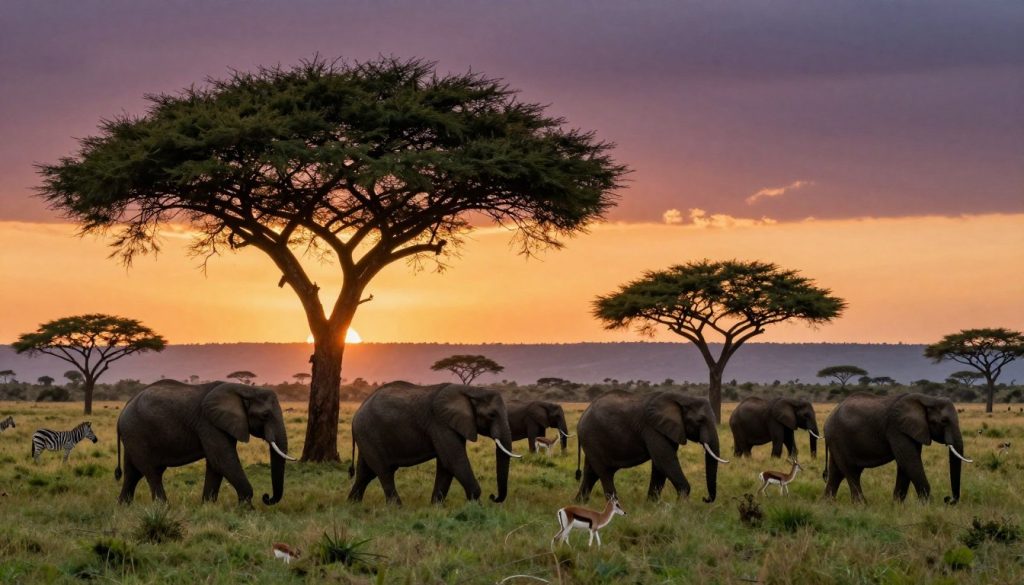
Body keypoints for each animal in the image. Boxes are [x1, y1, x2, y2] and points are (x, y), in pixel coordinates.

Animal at [115, 380, 294, 505]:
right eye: (265, 415)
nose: (267, 497)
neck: (245, 389)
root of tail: (124, 409)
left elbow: (216, 465)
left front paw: (207, 507)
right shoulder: (208, 423)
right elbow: (223, 461)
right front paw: (247, 509)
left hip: (132, 436)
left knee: (133, 472)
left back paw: (124, 507)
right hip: (136, 433)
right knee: (152, 471)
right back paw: (163, 507)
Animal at [347, 381, 521, 505]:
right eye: (492, 415)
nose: (494, 497)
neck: (470, 389)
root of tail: (357, 413)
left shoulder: (451, 424)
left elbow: (446, 465)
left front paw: (436, 507)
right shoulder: (440, 422)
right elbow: (454, 460)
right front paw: (476, 507)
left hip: (367, 436)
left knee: (366, 472)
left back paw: (353, 504)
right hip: (369, 432)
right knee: (384, 471)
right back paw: (397, 507)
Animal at [575, 390, 728, 503]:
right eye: (700, 420)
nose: (705, 498)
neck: (681, 397)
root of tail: (581, 418)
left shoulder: (666, 429)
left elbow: (660, 465)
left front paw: (652, 505)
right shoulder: (652, 429)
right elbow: (664, 460)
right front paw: (681, 505)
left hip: (591, 441)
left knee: (591, 473)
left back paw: (580, 503)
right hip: (592, 437)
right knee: (604, 472)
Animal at [823, 392, 972, 504]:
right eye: (944, 421)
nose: (948, 499)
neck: (927, 399)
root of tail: (828, 418)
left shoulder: (912, 430)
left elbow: (906, 464)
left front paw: (897, 505)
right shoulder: (896, 429)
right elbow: (909, 461)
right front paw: (927, 506)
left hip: (836, 440)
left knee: (837, 472)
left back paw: (828, 504)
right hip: (838, 437)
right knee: (851, 472)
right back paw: (861, 505)